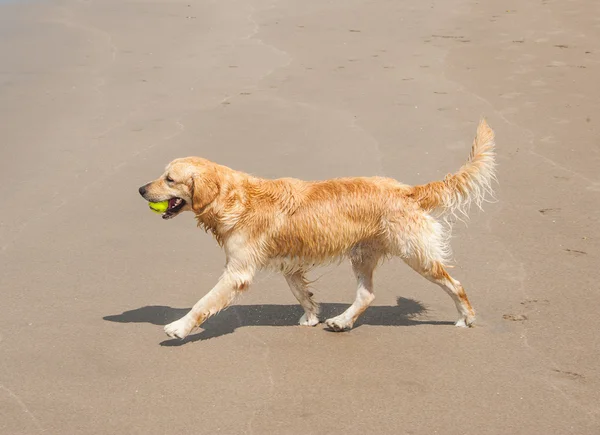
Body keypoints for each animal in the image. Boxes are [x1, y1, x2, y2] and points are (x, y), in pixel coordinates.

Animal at [139, 120, 496, 340]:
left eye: (169, 179)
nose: (141, 189)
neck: (234, 199)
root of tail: (407, 190)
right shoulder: (289, 263)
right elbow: (302, 293)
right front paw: (312, 316)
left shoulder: (237, 271)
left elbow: (204, 302)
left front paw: (179, 327)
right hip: (362, 253)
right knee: (366, 294)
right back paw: (341, 321)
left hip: (414, 252)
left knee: (455, 284)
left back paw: (467, 317)